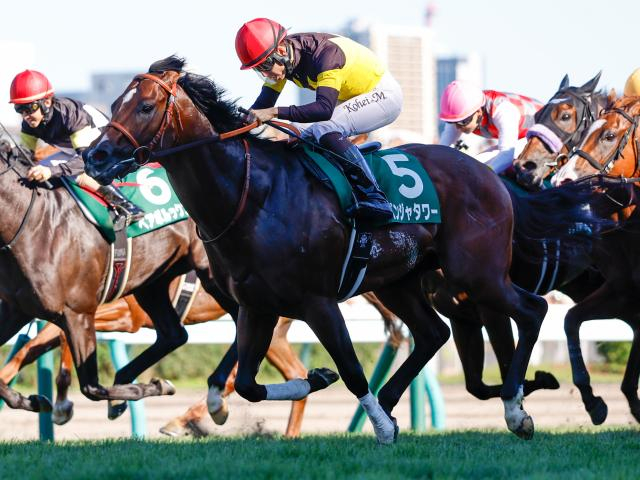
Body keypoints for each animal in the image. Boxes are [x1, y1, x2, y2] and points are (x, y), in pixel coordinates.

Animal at [83, 56, 604, 441]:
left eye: (145, 106)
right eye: (115, 102)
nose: (95, 156)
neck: (252, 196)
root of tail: (490, 176)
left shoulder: (317, 301)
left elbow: (351, 370)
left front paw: (377, 424)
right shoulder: (255, 305)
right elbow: (246, 383)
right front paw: (317, 379)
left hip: (476, 273)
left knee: (532, 310)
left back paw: (515, 409)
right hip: (400, 281)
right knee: (434, 333)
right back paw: (396, 404)